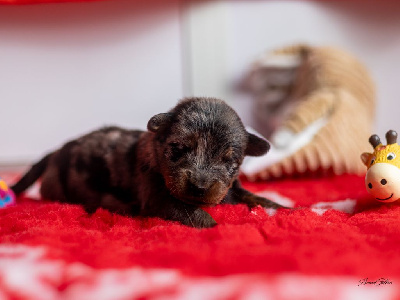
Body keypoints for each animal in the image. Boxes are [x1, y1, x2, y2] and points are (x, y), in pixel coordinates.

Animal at [10, 98, 282, 227]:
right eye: (178, 149)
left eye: (230, 160)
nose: (200, 188)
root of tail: (55, 152)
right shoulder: (158, 198)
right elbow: (191, 212)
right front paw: (217, 227)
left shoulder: (232, 188)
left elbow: (253, 196)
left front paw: (282, 208)